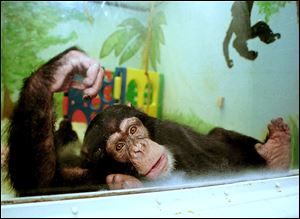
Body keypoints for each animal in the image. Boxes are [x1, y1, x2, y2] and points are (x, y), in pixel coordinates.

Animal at [6, 47, 288, 196]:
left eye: (133, 130)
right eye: (119, 147)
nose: (139, 148)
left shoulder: (172, 131)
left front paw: (68, 66)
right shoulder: (92, 174)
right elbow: (41, 184)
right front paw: (55, 74)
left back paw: (277, 153)